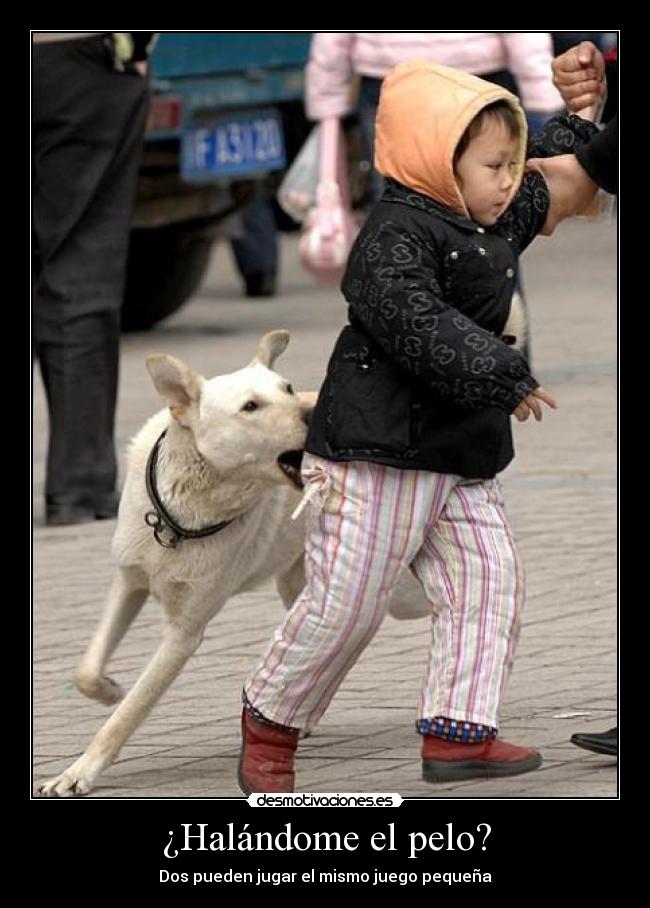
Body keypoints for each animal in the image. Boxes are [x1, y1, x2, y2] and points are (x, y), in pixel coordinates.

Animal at [39, 332, 426, 796]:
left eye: (288, 388)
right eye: (250, 406)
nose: (314, 411)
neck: (182, 516)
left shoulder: (184, 633)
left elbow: (129, 712)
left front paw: (80, 771)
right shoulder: (129, 581)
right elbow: (87, 669)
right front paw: (109, 690)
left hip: (402, 590)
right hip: (303, 582)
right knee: (337, 637)